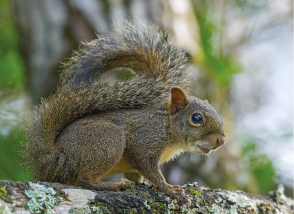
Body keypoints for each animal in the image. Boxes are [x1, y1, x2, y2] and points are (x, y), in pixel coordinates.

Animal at [23, 20, 225, 203]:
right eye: (196, 118)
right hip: (109, 140)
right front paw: (169, 189)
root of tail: (53, 157)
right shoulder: (144, 140)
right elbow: (148, 167)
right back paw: (114, 185)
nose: (221, 141)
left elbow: (136, 174)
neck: (167, 127)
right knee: (84, 178)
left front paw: (144, 184)